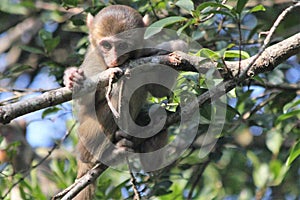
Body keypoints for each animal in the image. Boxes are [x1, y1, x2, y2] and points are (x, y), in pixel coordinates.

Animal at [63, 4, 188, 200]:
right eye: (106, 45)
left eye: (123, 46)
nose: (115, 59)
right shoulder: (93, 60)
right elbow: (85, 104)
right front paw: (73, 79)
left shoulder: (143, 51)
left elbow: (158, 90)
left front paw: (177, 46)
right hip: (86, 134)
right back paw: (106, 154)